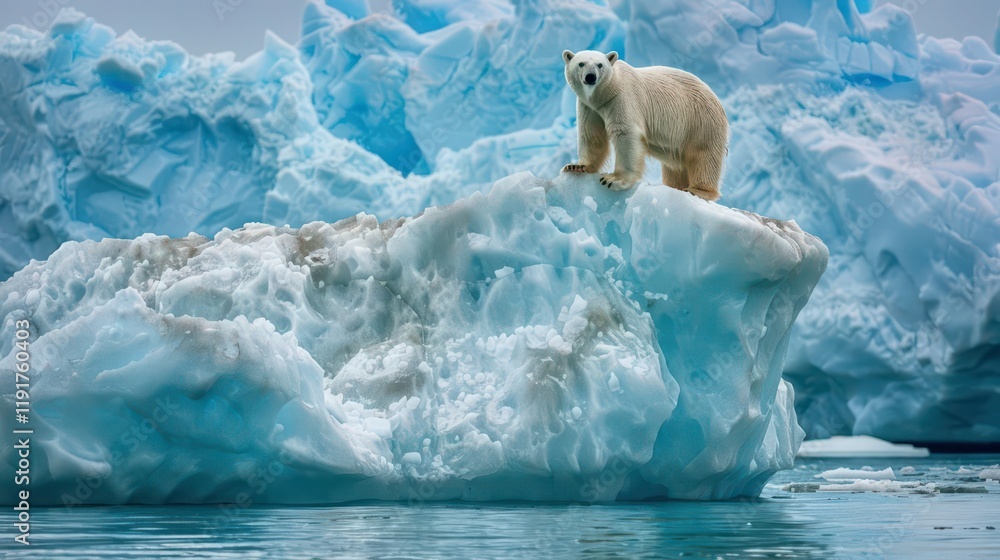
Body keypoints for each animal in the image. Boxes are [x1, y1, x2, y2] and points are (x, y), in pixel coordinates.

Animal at [561, 50, 728, 201]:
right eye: (581, 63)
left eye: (600, 64)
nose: (590, 77)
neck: (605, 94)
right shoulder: (589, 107)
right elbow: (591, 134)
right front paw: (577, 167)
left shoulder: (622, 98)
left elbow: (625, 134)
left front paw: (613, 180)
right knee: (676, 168)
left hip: (700, 120)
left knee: (703, 155)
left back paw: (697, 190)